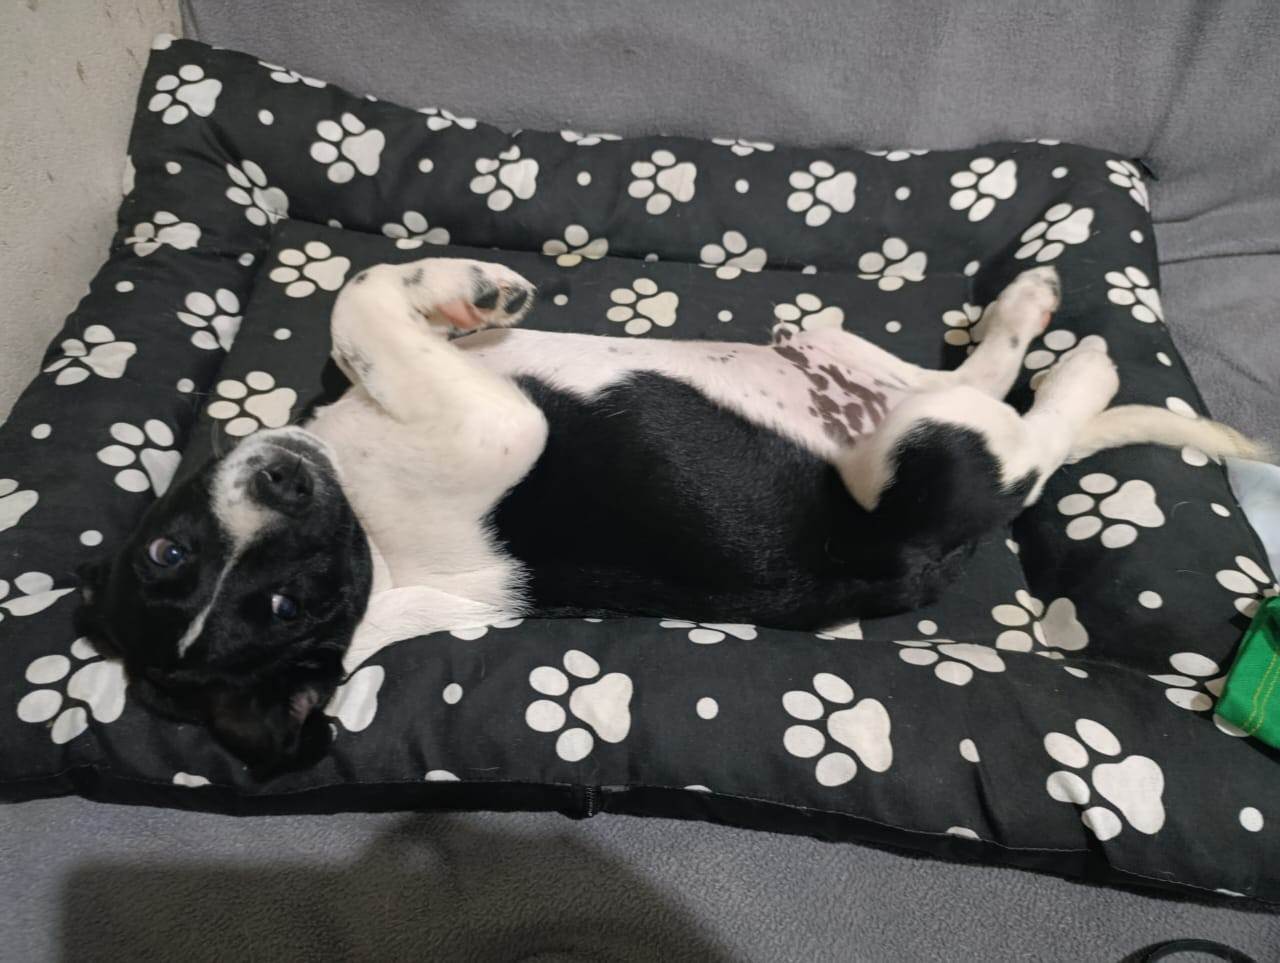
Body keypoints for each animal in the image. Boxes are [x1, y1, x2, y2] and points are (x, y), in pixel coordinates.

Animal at [75, 258, 1263, 774]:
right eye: (290, 605)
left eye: (167, 546)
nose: (284, 480)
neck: (369, 534)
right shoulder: (490, 427)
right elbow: (358, 299)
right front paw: (450, 287)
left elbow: (367, 312)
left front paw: (463, 292)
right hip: (921, 459)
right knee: (1017, 432)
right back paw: (1077, 354)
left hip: (840, 355)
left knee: (941, 372)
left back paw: (1029, 313)